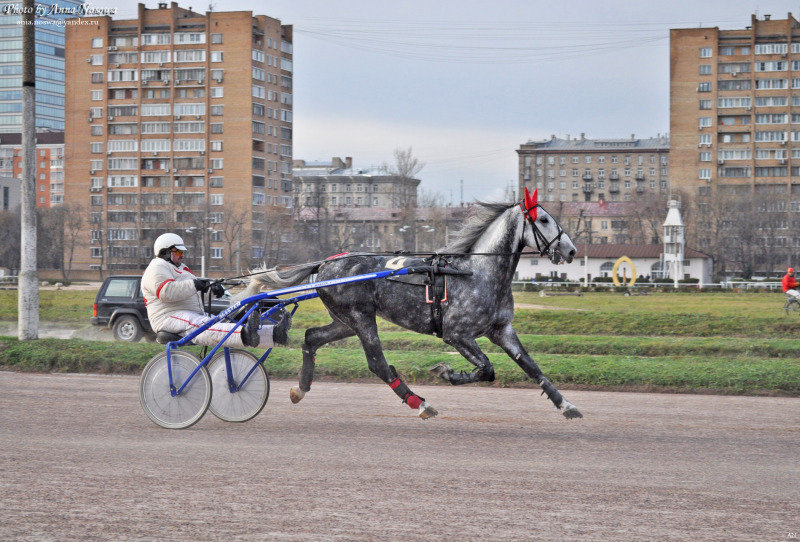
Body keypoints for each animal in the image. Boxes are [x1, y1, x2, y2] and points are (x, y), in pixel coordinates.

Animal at [242, 189, 580, 422]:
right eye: (544, 219)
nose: (571, 250)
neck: (477, 272)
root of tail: (326, 263)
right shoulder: (457, 334)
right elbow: (487, 368)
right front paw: (447, 372)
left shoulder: (501, 330)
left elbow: (531, 365)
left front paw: (566, 404)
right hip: (361, 318)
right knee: (377, 363)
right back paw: (420, 402)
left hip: (345, 321)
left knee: (312, 337)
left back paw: (300, 388)